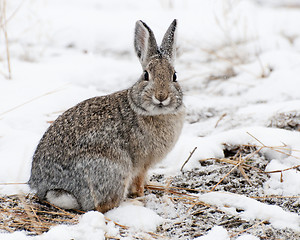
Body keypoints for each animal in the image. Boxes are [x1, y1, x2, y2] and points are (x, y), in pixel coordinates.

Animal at [29, 19, 185, 213]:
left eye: (175, 76)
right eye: (146, 75)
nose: (161, 96)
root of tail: (51, 187)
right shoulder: (141, 165)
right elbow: (138, 183)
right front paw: (141, 195)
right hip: (114, 169)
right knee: (103, 205)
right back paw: (133, 204)